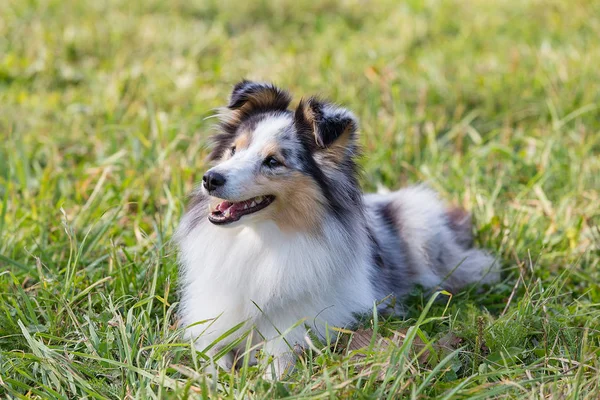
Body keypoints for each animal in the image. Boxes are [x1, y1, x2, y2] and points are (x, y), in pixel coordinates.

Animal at [176, 80, 500, 378]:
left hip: (419, 223)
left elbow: (278, 363)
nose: (210, 179)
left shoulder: (294, 329)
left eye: (273, 161)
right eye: (233, 150)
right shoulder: (214, 322)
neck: (259, 240)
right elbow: (210, 359)